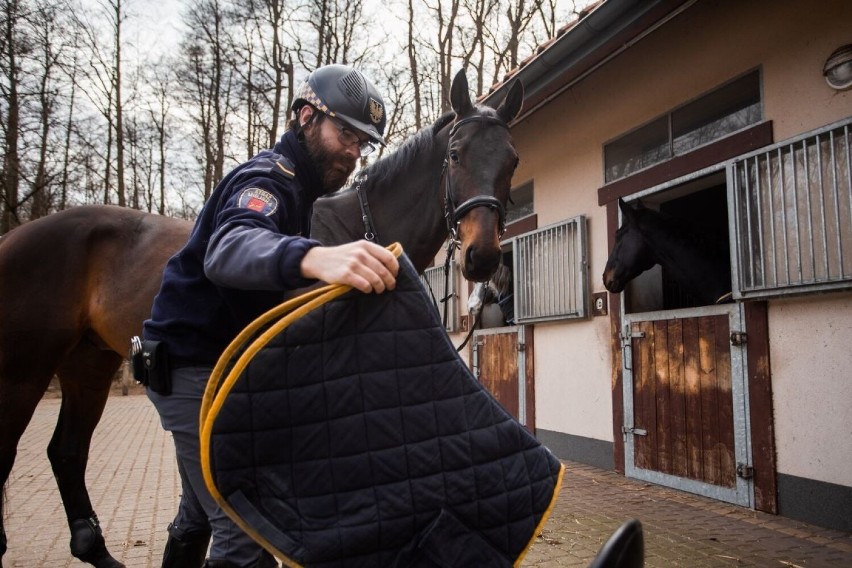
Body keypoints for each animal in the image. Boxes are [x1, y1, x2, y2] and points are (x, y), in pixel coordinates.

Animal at [0, 70, 524, 568]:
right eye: (455, 154)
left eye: (512, 161)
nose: (481, 256)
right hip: (24, 371)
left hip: (88, 362)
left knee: (67, 451)